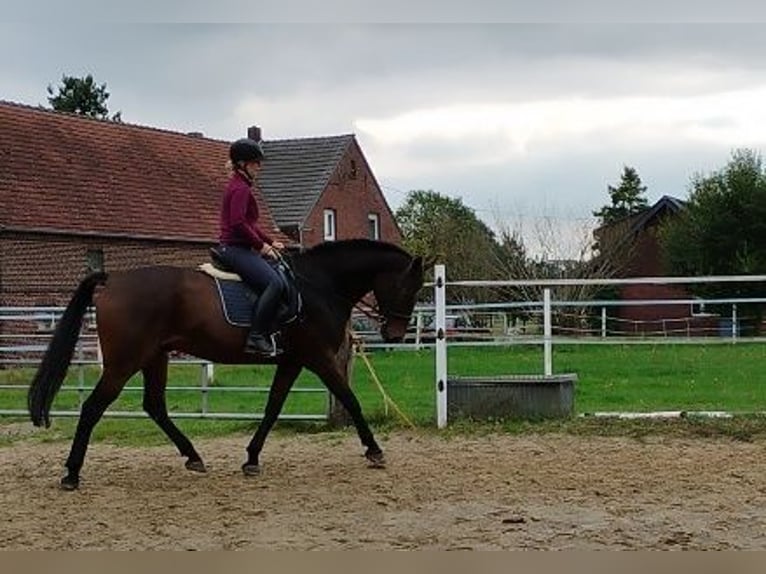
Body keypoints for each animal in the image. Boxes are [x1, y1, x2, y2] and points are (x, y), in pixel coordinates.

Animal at [27, 239, 425, 490]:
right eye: (409, 288)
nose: (393, 334)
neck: (319, 286)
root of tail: (112, 281)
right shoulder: (319, 358)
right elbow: (350, 399)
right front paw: (374, 450)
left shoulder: (292, 361)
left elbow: (273, 407)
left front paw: (251, 458)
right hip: (123, 362)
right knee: (93, 408)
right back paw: (71, 474)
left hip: (154, 356)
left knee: (154, 406)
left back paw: (193, 457)